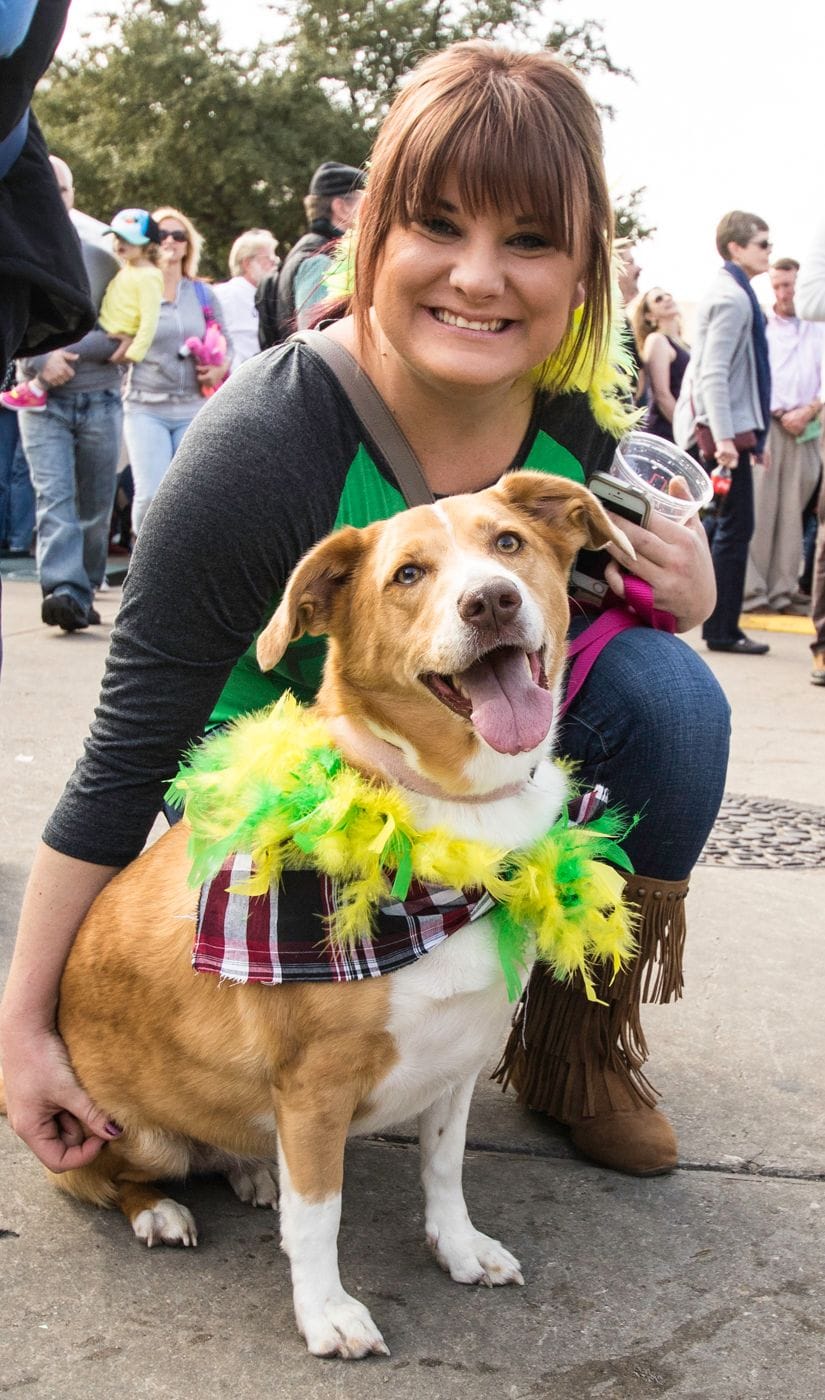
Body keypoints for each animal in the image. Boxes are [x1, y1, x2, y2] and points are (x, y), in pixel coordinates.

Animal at [1, 470, 630, 1355]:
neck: (452, 818)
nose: (492, 601)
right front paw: (326, 1312)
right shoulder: (313, 1088)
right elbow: (318, 1215)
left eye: (507, 542)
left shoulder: (458, 1058)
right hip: (128, 1135)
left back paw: (248, 1168)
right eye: (407, 575)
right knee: (116, 1179)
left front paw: (459, 1247)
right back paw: (160, 1210)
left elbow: (444, 1168)